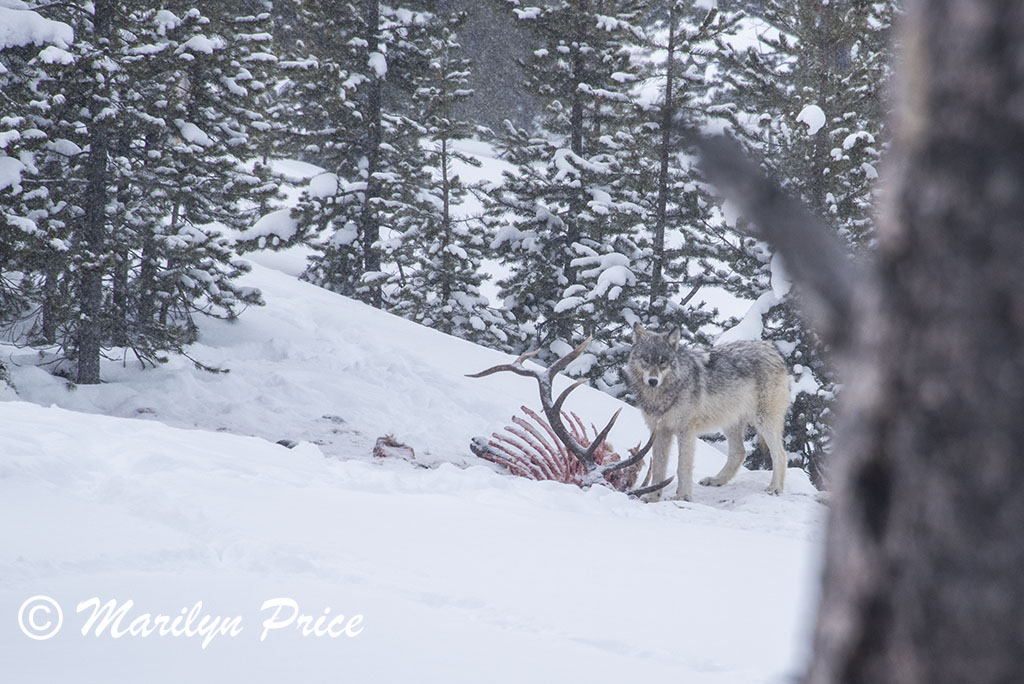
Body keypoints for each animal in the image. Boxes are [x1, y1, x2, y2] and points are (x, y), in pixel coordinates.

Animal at [626, 323, 791, 501]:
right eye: (646, 359)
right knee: (739, 452)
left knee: (780, 454)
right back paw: (716, 480)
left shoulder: (686, 431)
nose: (653, 381)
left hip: (764, 421)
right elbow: (658, 468)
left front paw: (683, 497)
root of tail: (771, 349)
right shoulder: (659, 431)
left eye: (663, 360)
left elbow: (682, 467)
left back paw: (775, 488)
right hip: (730, 422)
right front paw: (652, 497)